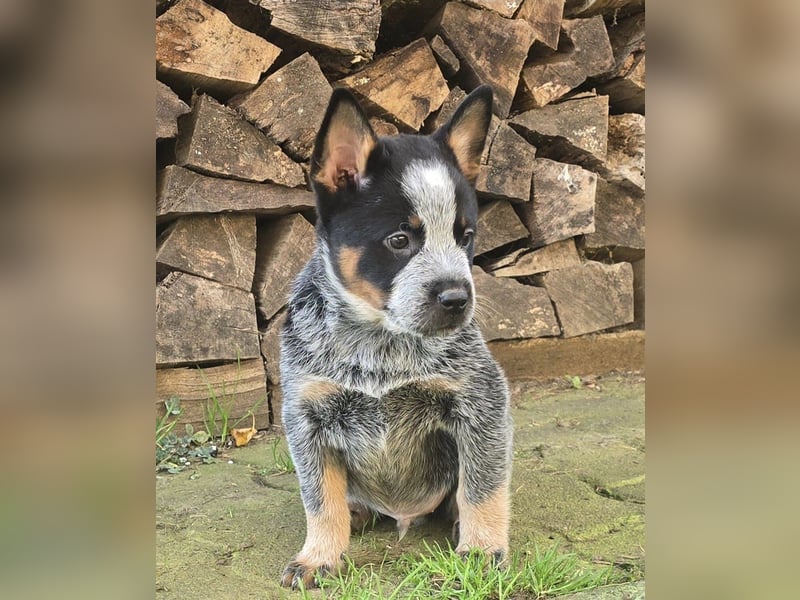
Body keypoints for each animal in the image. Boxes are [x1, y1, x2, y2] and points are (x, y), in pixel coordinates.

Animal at [276, 86, 512, 588]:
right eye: (400, 240)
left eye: (466, 236)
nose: (457, 298)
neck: (380, 346)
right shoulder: (306, 415)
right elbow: (319, 500)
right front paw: (319, 556)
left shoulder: (481, 401)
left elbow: (482, 485)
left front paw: (483, 549)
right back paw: (357, 512)